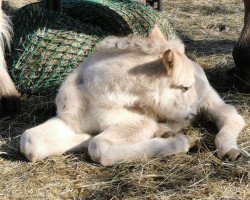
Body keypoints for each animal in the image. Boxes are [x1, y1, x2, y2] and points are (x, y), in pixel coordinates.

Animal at [20, 25, 245, 166]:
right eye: (184, 88)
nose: (194, 110)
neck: (92, 97)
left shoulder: (140, 122)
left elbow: (99, 145)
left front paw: (182, 143)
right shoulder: (68, 121)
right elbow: (29, 140)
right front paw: (83, 138)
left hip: (208, 98)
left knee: (231, 115)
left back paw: (228, 149)